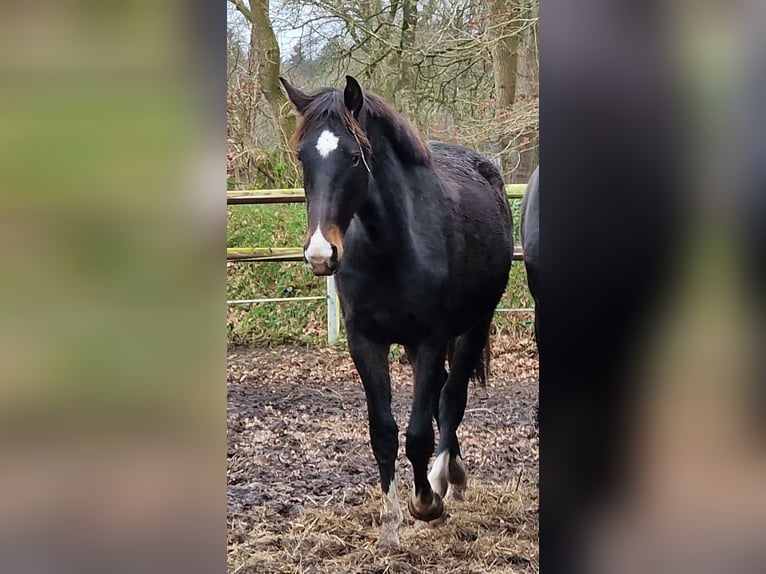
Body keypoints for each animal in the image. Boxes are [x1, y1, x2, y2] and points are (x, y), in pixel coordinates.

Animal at [282, 75, 516, 548]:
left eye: (355, 156)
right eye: (302, 157)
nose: (320, 253)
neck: (390, 246)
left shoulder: (429, 339)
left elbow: (419, 432)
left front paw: (426, 503)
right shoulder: (365, 342)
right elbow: (384, 431)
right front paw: (390, 523)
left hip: (473, 326)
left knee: (451, 396)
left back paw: (446, 479)